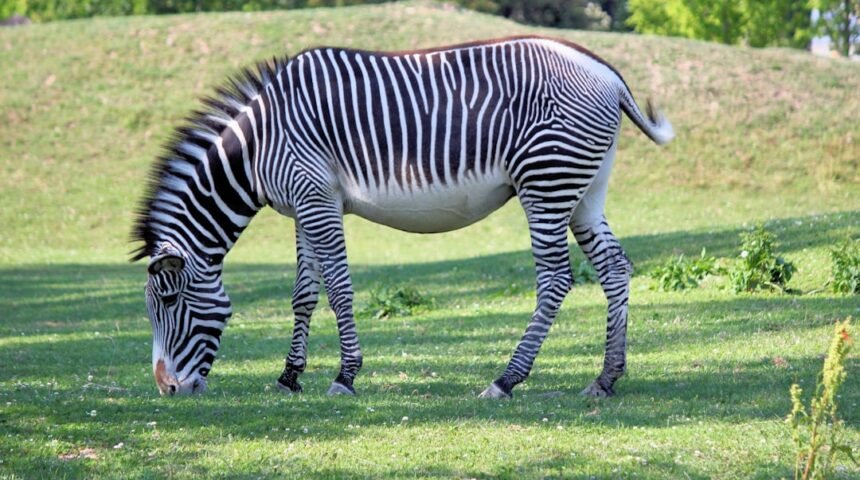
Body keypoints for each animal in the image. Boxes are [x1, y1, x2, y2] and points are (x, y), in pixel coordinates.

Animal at [132, 35, 673, 398]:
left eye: (170, 300)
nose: (166, 389)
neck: (257, 146)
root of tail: (607, 74)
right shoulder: (303, 207)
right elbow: (304, 295)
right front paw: (289, 377)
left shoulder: (317, 199)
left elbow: (339, 288)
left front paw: (345, 376)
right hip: (584, 189)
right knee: (614, 268)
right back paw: (605, 378)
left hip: (546, 181)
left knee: (557, 277)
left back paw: (506, 379)